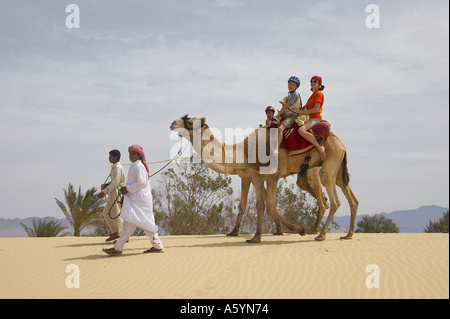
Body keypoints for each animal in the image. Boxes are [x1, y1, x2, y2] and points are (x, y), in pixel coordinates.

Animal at [170, 115, 358, 242]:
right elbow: (257, 205)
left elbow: (271, 207)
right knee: (350, 197)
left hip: (325, 166)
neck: (244, 151)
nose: (172, 123)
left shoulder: (270, 175)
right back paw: (347, 234)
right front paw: (253, 237)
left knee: (330, 199)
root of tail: (341, 143)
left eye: (190, 122)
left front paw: (299, 228)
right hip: (337, 166)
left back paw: (319, 234)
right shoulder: (255, 176)